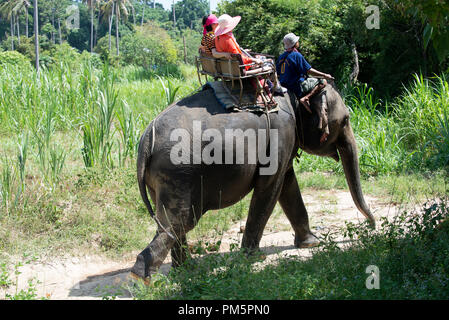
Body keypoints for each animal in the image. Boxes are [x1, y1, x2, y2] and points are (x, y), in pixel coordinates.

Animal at [130, 81, 374, 282]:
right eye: (346, 120)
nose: (372, 225)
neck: (293, 92)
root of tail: (145, 140)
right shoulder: (282, 132)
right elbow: (271, 186)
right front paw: (254, 258)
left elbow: (287, 183)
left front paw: (311, 243)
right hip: (179, 172)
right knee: (180, 221)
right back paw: (143, 279)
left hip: (162, 178)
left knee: (169, 222)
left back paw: (186, 270)